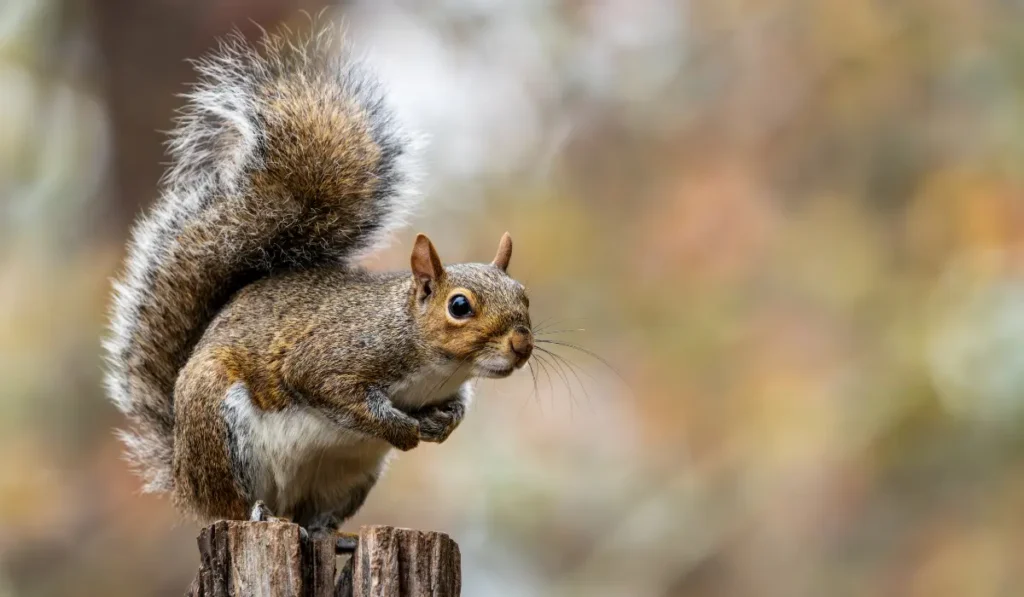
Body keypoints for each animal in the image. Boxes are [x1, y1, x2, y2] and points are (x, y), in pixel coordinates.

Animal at [103, 23, 534, 537]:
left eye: (525, 296)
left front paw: (444, 423)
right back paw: (257, 511)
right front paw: (402, 428)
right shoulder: (334, 355)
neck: (432, 361)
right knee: (231, 503)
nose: (522, 345)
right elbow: (329, 388)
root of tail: (183, 473)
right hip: (218, 426)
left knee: (312, 514)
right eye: (460, 306)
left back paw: (329, 532)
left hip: (346, 476)